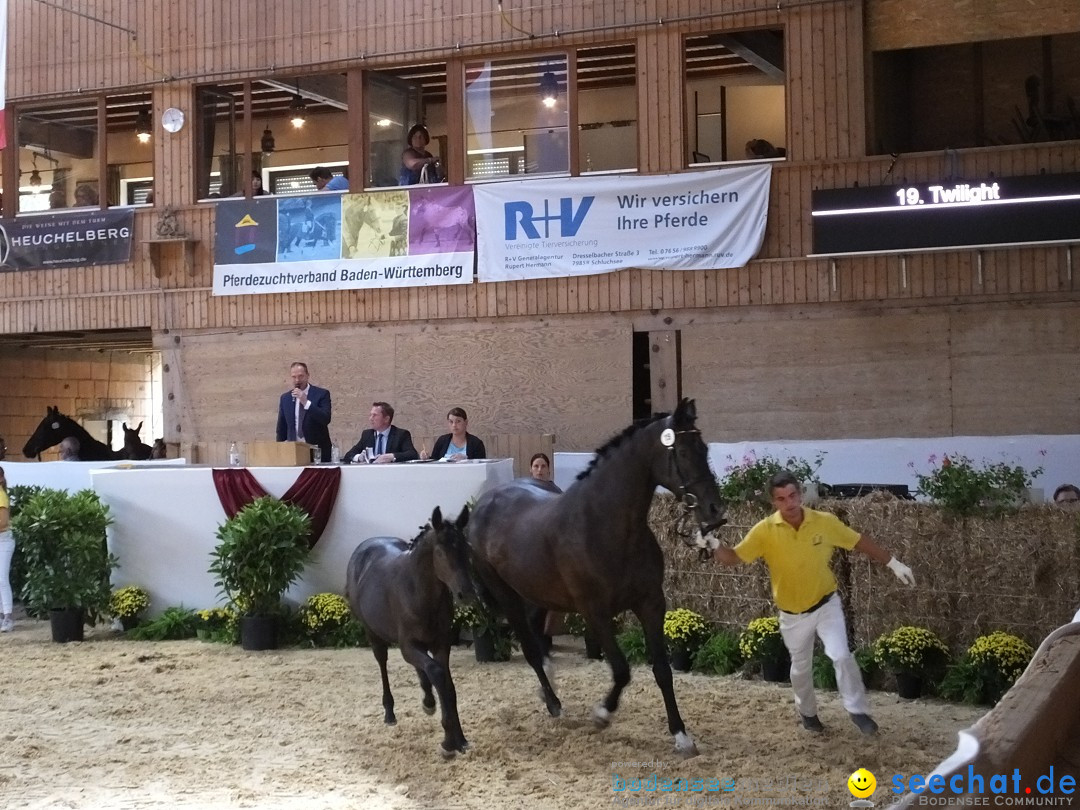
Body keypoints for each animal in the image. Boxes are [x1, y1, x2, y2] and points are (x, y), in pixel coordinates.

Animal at [347, 507, 475, 760]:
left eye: (466, 548)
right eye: (440, 552)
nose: (466, 593)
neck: (418, 592)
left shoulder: (441, 644)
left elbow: (447, 684)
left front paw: (460, 739)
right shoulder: (407, 646)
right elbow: (437, 673)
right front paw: (449, 742)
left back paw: (428, 701)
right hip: (373, 633)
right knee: (383, 663)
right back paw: (390, 713)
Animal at [466, 403, 725, 760]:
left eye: (705, 449)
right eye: (683, 451)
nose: (716, 511)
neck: (606, 525)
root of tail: (482, 506)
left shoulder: (651, 604)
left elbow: (662, 669)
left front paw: (682, 736)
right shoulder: (595, 612)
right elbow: (622, 669)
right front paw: (602, 714)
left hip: (537, 591)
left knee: (537, 636)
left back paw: (550, 684)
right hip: (507, 595)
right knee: (530, 647)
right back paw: (554, 703)